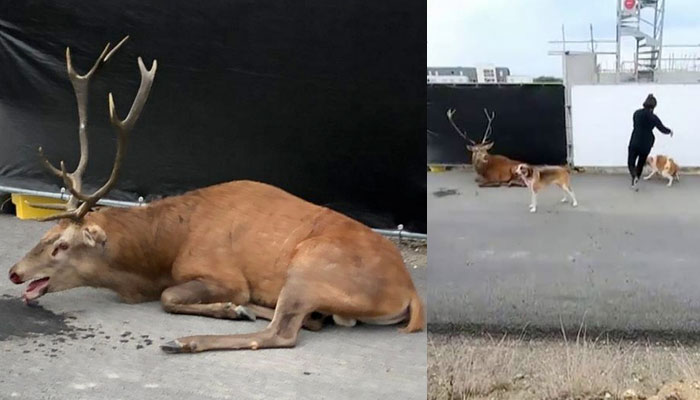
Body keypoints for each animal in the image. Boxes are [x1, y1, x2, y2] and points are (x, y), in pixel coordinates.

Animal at [5, 37, 424, 354]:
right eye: (45, 234)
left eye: (62, 245)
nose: (14, 272)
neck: (162, 252)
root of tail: (409, 294)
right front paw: (238, 308)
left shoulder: (221, 271)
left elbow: (170, 296)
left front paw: (230, 307)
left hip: (311, 263)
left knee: (283, 333)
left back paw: (189, 339)